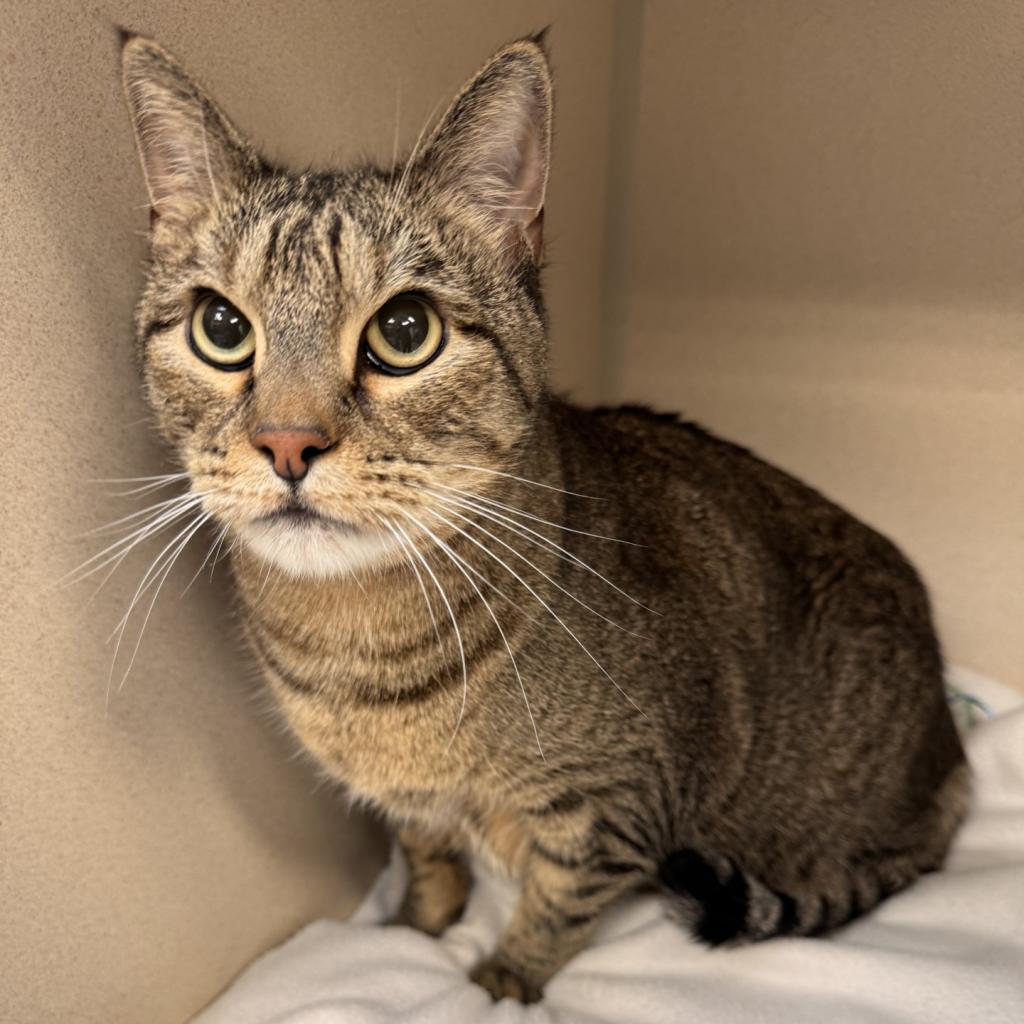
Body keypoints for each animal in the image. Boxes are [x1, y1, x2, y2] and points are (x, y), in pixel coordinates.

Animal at [119, 29, 966, 999]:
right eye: (221, 327)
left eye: (404, 332)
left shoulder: (612, 812)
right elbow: (430, 862)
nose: (288, 442)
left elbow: (553, 912)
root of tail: (952, 750)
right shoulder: (409, 808)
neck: (357, 658)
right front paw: (419, 931)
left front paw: (494, 983)